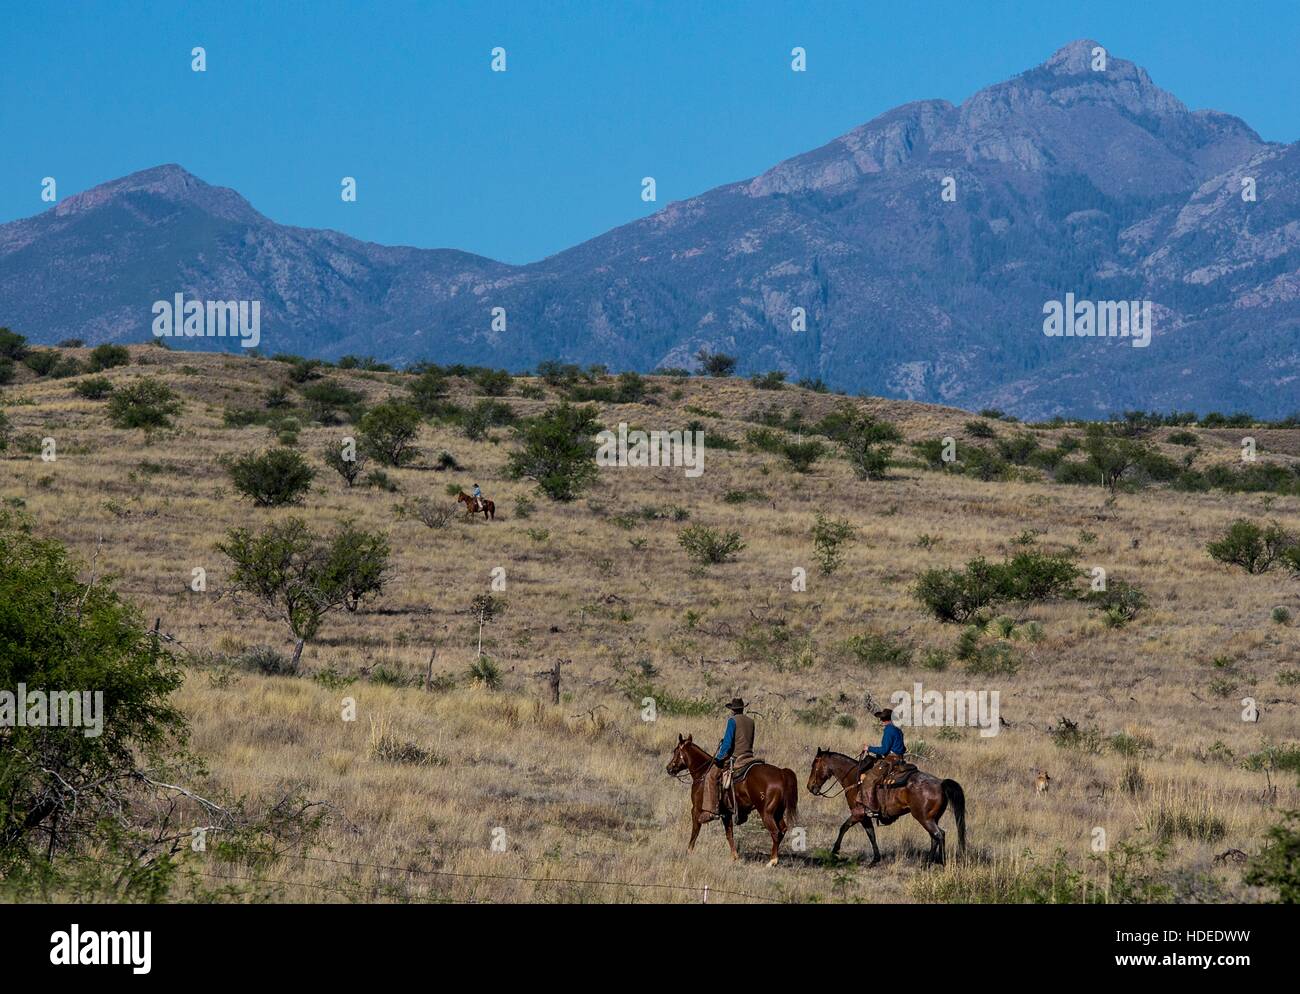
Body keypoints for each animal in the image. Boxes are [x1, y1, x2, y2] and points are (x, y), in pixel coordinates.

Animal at [665, 734, 800, 866]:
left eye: (675, 751)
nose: (669, 768)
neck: (702, 773)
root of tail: (781, 773)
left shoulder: (696, 809)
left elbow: (695, 831)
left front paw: (689, 851)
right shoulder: (727, 813)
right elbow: (729, 834)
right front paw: (735, 857)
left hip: (766, 813)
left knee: (775, 832)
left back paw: (772, 861)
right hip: (778, 812)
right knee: (783, 830)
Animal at [806, 749, 966, 865]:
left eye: (814, 766)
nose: (810, 787)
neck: (854, 778)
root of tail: (941, 783)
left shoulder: (858, 813)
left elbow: (844, 827)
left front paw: (834, 851)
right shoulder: (865, 816)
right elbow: (871, 834)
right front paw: (875, 859)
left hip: (924, 818)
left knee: (939, 835)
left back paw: (939, 862)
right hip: (932, 819)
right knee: (935, 837)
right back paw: (930, 862)